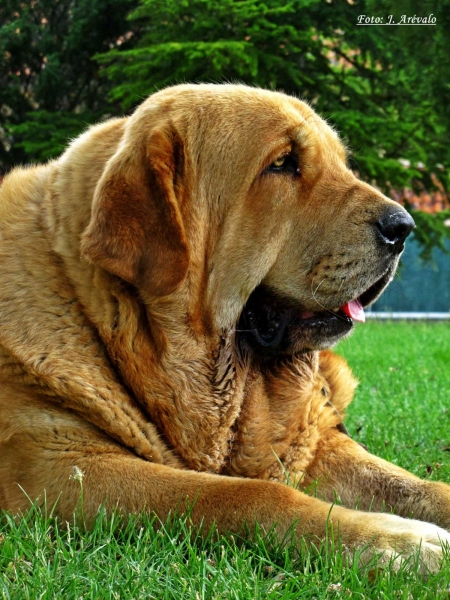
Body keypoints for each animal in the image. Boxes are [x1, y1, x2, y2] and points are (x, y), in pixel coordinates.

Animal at [0, 85, 450, 572]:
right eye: (282, 163)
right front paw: (397, 541)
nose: (403, 227)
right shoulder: (61, 469)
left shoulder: (316, 446)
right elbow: (249, 493)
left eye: (341, 163)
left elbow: (418, 485)